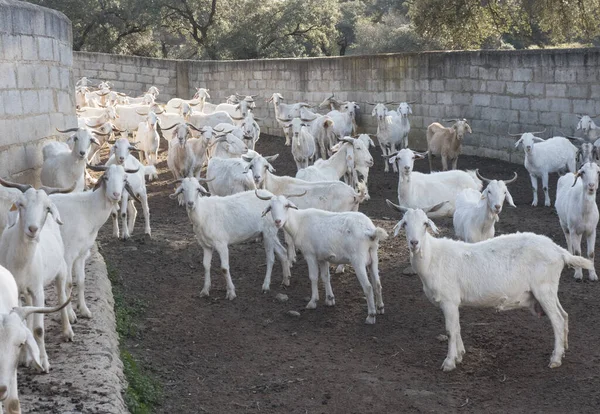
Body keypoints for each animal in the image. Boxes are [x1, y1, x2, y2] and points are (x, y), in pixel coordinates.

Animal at [255, 191, 386, 324]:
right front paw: (330, 299)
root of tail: (370, 231)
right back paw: (380, 308)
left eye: (286, 206)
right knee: (377, 283)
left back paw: (371, 316)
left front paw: (313, 301)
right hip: (373, 256)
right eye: (271, 207)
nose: (278, 221)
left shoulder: (310, 254)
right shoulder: (323, 257)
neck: (299, 222)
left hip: (358, 260)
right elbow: (325, 277)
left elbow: (313, 277)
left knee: (368, 287)